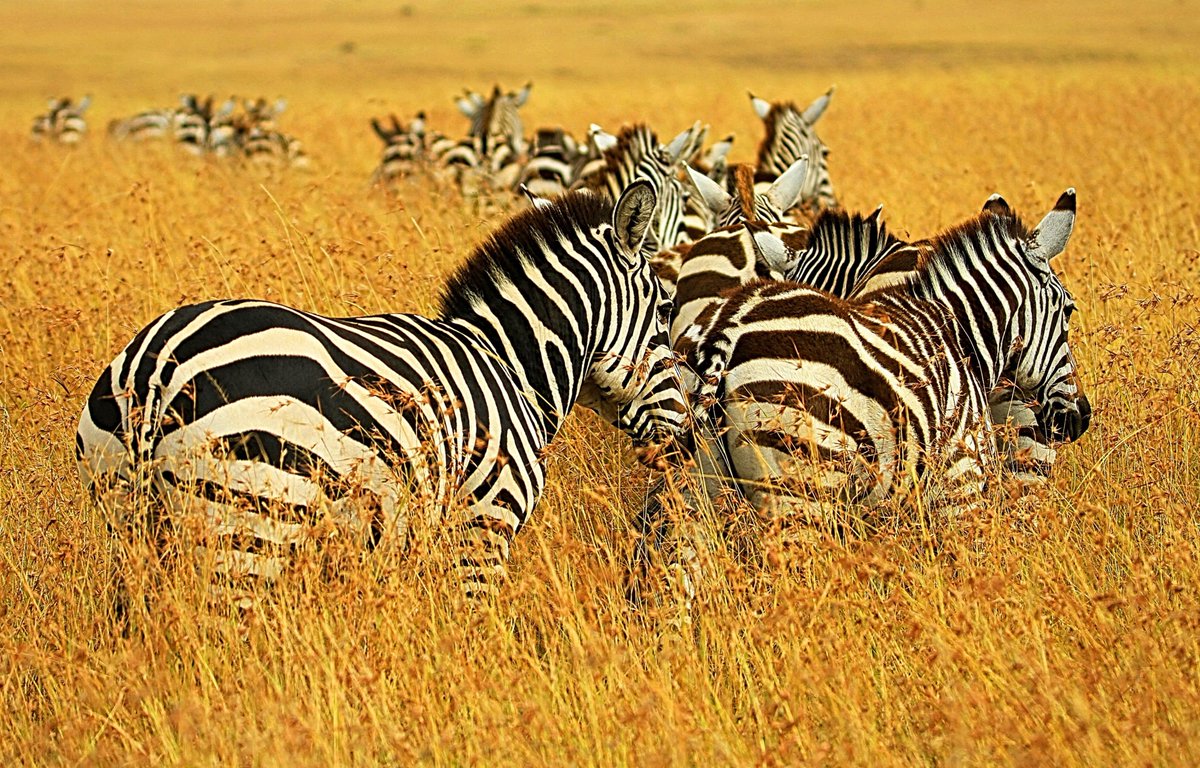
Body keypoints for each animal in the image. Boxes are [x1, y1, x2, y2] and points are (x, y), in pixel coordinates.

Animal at [76, 182, 689, 602]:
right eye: (664, 315)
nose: (685, 438)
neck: (511, 363)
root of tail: (156, 366)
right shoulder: (483, 526)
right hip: (250, 526)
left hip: (131, 526)